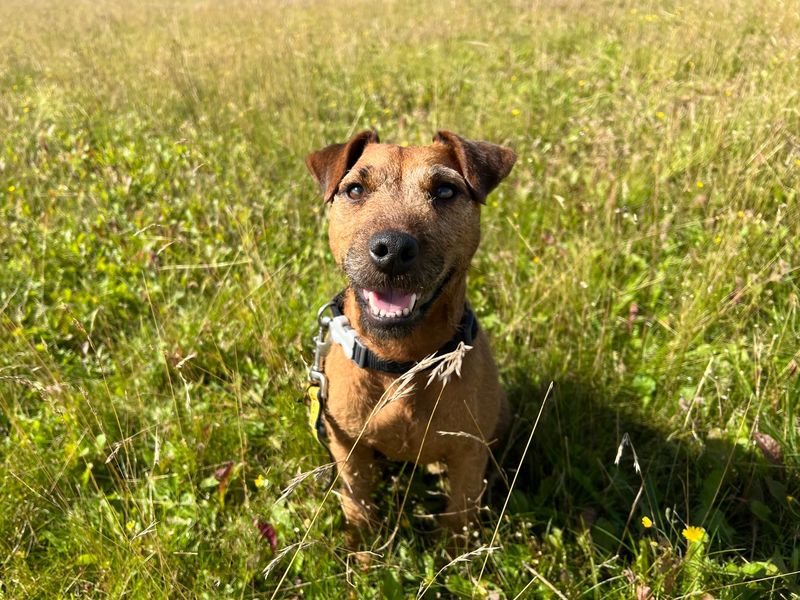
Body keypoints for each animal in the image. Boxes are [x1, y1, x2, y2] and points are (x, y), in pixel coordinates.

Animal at [304, 130, 516, 536]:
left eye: (446, 191)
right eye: (355, 189)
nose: (392, 249)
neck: (401, 364)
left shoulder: (469, 455)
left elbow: (458, 520)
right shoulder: (348, 450)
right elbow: (358, 507)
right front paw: (363, 550)